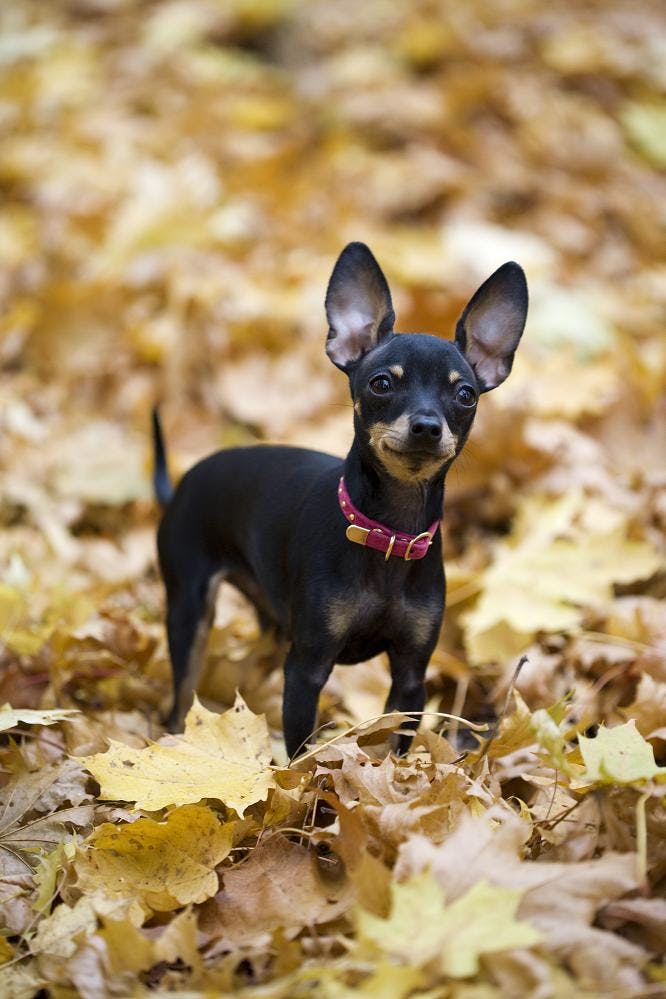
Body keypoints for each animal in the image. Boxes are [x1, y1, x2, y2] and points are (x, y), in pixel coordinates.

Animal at [153, 242, 528, 756]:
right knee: (180, 697)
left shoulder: (411, 676)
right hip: (189, 610)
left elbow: (395, 744)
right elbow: (301, 757)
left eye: (466, 394)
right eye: (381, 383)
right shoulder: (307, 668)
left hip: (271, 622)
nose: (427, 426)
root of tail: (181, 484)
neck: (388, 532)